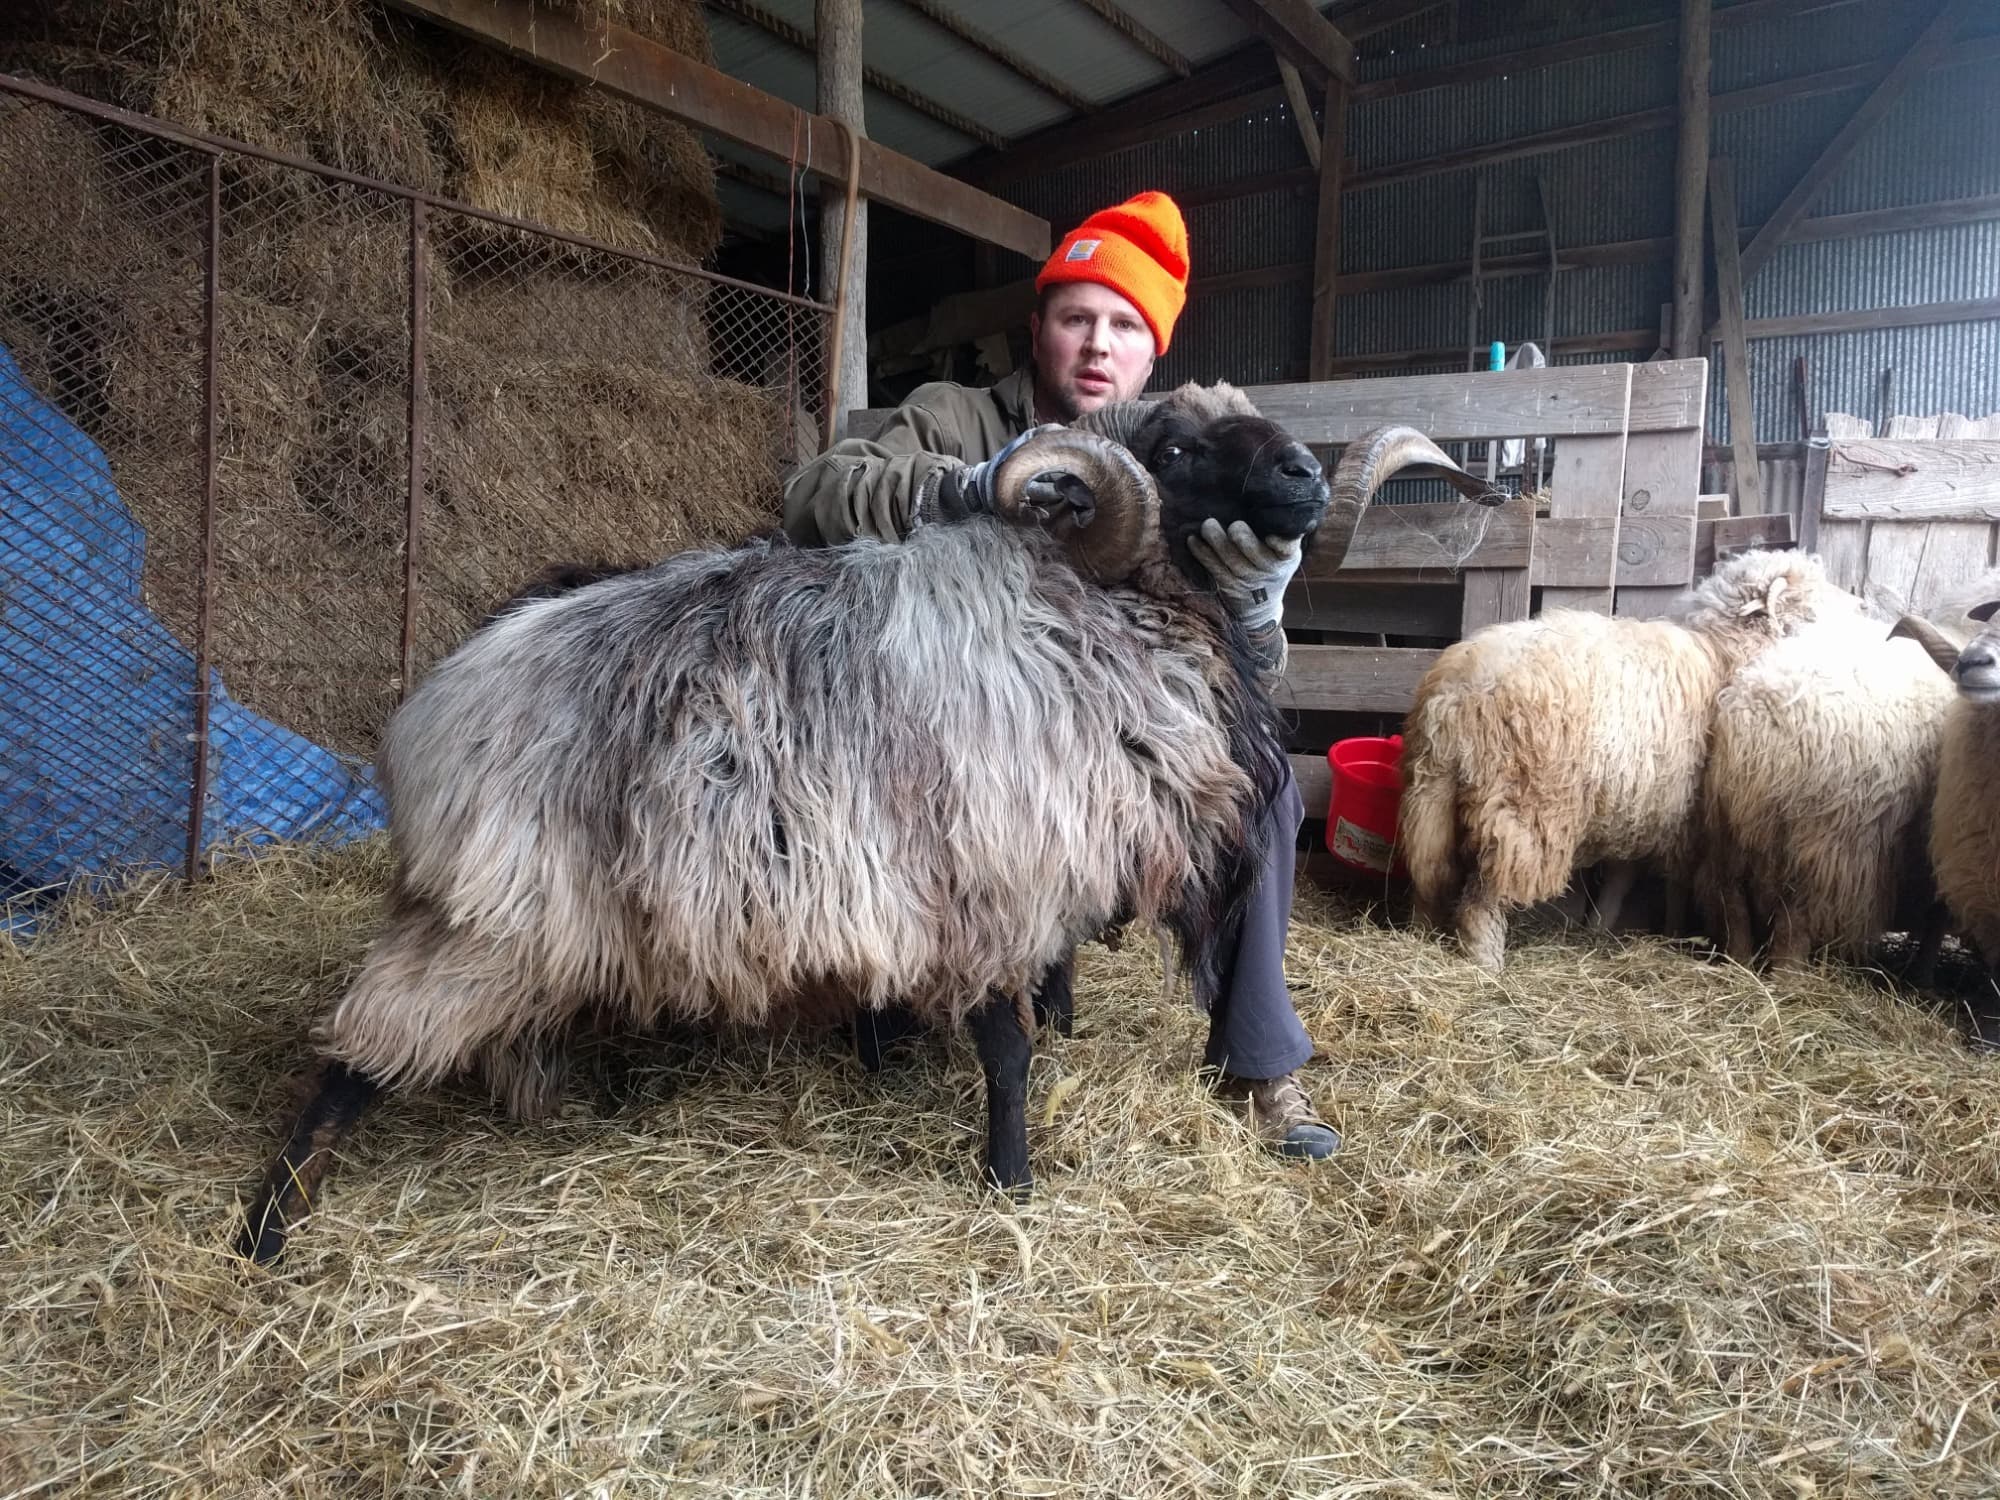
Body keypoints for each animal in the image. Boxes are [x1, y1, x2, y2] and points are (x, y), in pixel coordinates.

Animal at [236, 415, 1293, 1265]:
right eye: (1178, 447)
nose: (1306, 476)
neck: (1081, 609)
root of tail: (433, 712)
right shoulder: (991, 890)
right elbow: (1008, 1052)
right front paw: (1011, 1183)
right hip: (488, 916)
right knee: (356, 1061)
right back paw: (266, 1232)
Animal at [1396, 547, 1860, 972]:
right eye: (1812, 607)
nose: (1860, 610)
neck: (1724, 655)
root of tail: (1455, 694)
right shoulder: (1708, 825)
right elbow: (1724, 899)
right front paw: (1737, 957)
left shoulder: (1642, 807)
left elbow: (1624, 877)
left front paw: (1602, 927)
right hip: (1523, 811)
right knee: (1483, 901)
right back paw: (1486, 967)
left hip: (1431, 795)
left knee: (1428, 877)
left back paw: (1420, 938)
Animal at [1695, 608, 1955, 972]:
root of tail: (1761, 717)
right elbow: (1936, 922)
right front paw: (1924, 976)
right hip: (1823, 846)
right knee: (1794, 927)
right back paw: (1791, 977)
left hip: (1728, 830)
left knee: (1732, 904)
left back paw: (1739, 965)